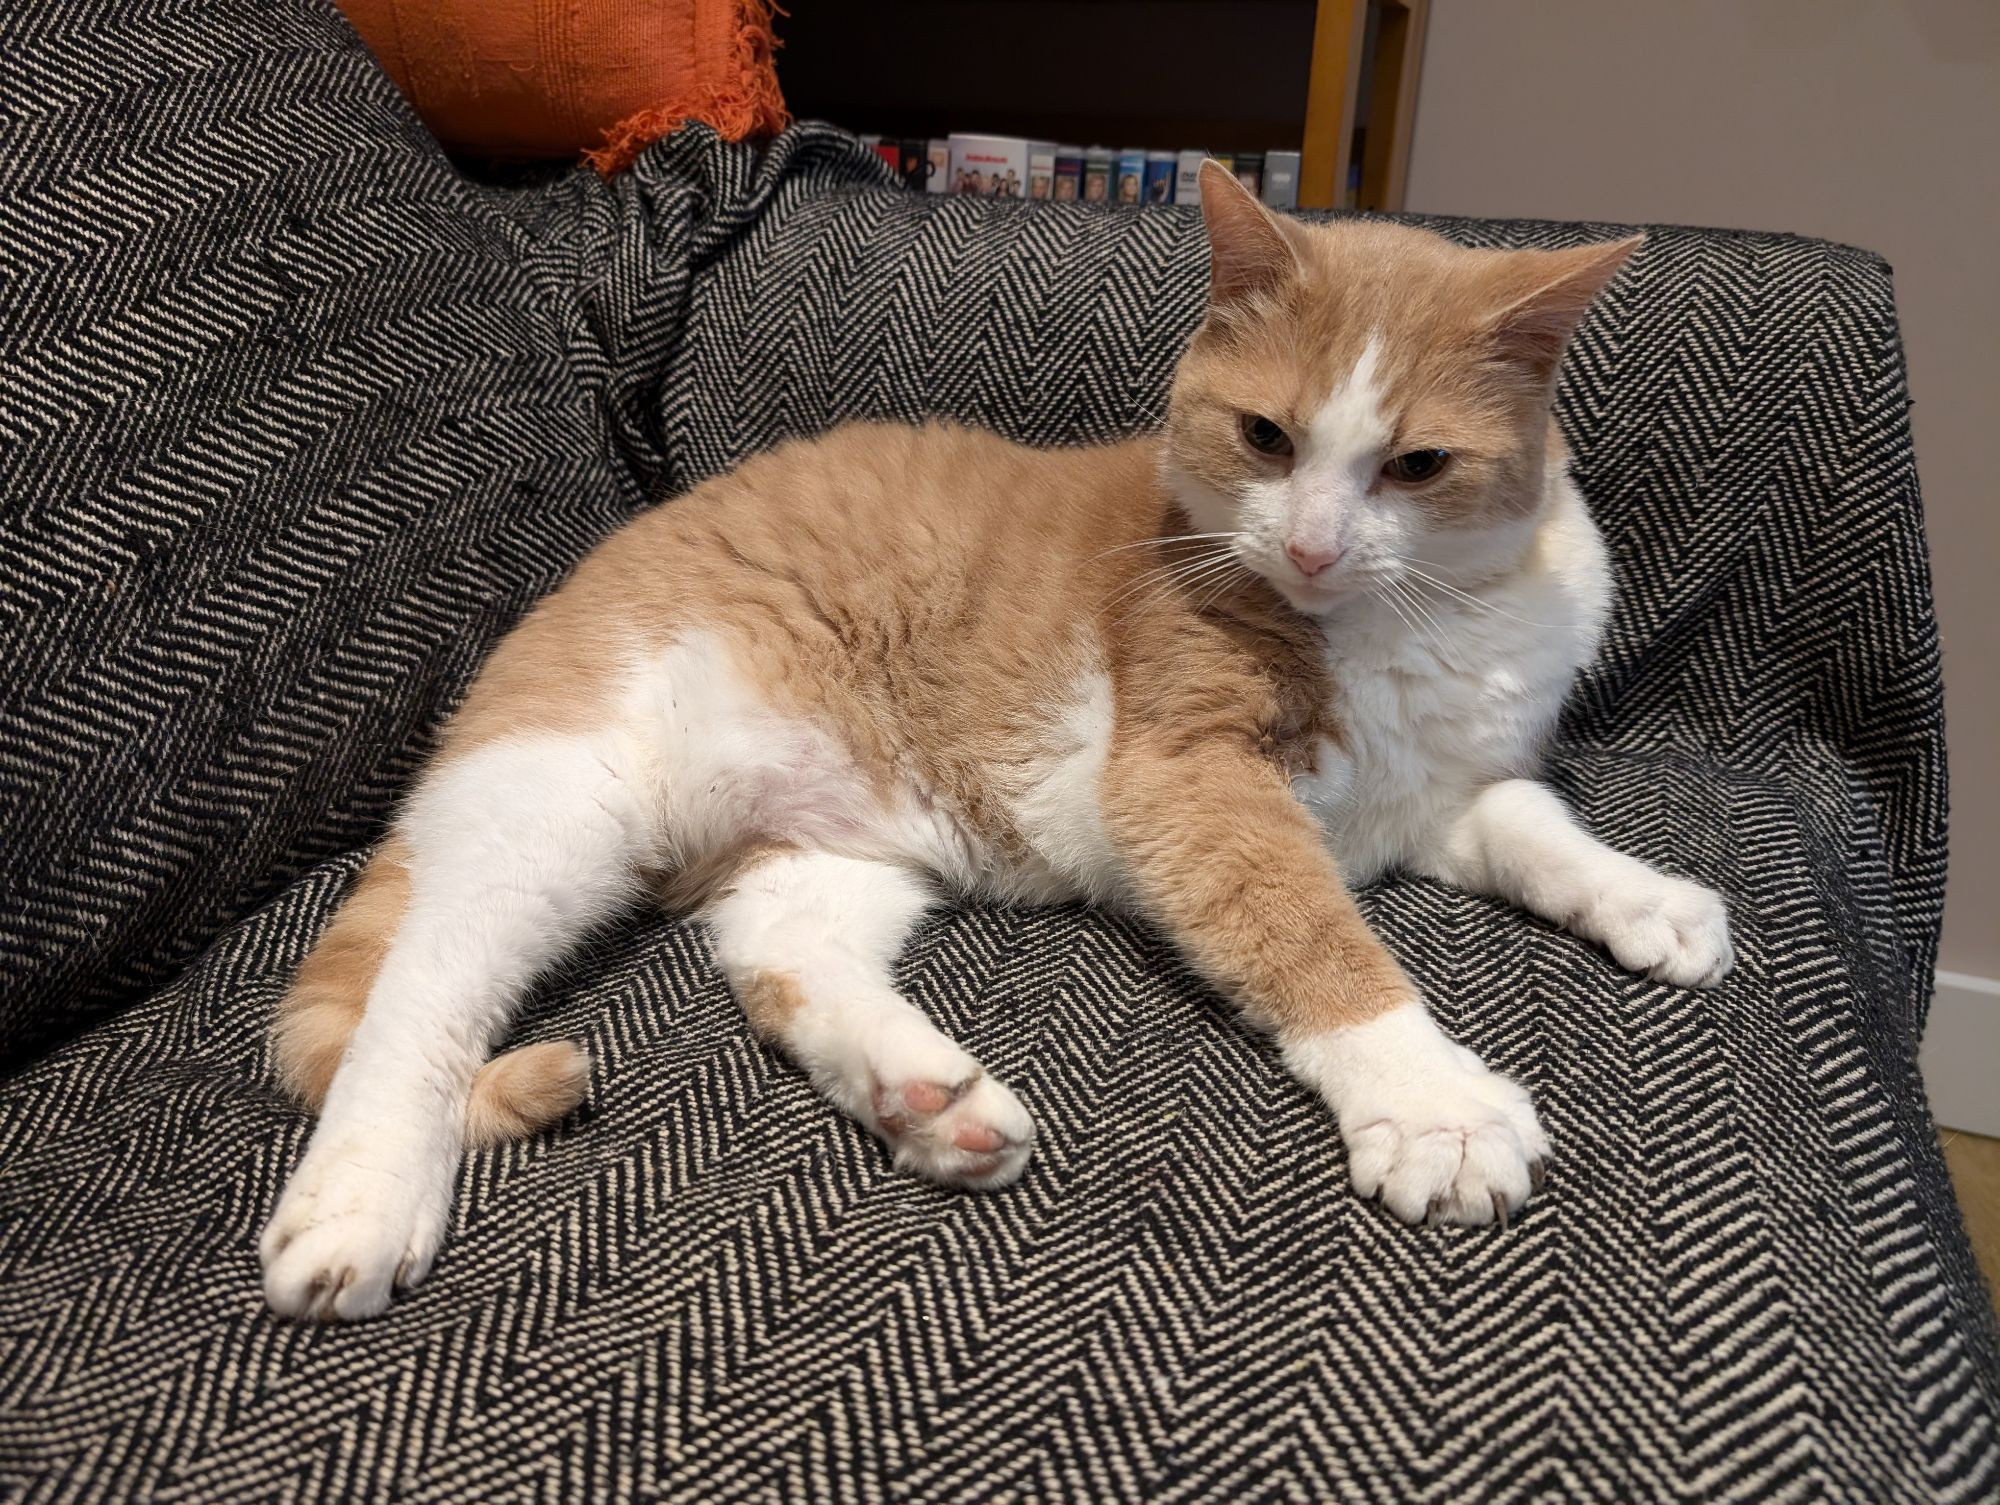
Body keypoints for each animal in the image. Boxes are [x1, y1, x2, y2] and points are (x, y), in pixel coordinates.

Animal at [262, 164, 1736, 1312]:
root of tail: (583, 576)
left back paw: (924, 1095)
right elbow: (1322, 945)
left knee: (775, 955)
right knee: (419, 992)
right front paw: (1430, 1100)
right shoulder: (1195, 785)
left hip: (834, 854)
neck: (1412, 620)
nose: (1312, 547)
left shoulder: (1442, 790)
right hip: (564, 805)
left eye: (1417, 466)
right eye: (1266, 437)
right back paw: (359, 1207)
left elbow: (1539, 831)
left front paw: (1648, 902)